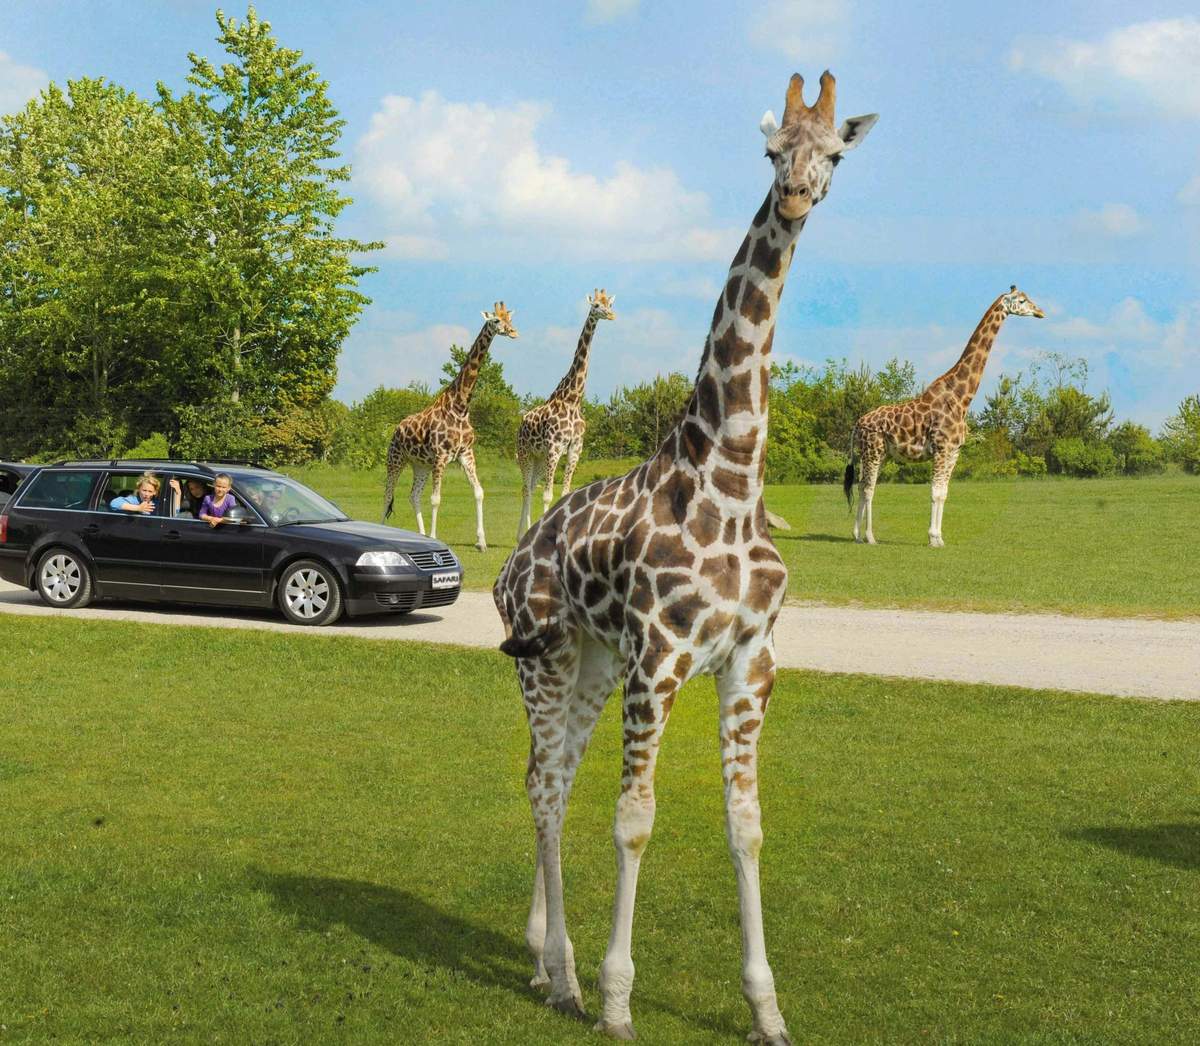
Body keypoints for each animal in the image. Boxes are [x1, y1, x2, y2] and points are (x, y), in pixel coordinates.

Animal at [381, 303, 518, 551]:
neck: (460, 407)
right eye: (496, 320)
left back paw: (421, 534)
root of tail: (396, 428)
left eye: (509, 319)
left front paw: (481, 542)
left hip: (420, 465)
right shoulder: (441, 456)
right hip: (395, 459)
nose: (513, 332)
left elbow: (479, 492)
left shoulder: (465, 454)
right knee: (387, 495)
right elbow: (436, 499)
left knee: (413, 495)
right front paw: (436, 536)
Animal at [515, 289, 617, 540]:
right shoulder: (555, 447)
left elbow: (564, 493)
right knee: (526, 489)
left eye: (609, 304)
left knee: (530, 487)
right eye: (596, 305)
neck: (572, 398)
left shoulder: (574, 449)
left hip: (539, 458)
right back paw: (521, 535)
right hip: (526, 453)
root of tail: (521, 423)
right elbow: (548, 495)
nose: (611, 315)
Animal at [844, 286, 1044, 547]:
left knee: (861, 486)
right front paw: (932, 538)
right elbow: (935, 492)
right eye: (1021, 301)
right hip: (873, 451)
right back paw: (870, 536)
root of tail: (858, 424)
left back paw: (857, 535)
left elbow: (944, 493)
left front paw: (939, 537)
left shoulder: (954, 451)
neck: (961, 397)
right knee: (868, 489)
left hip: (879, 453)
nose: (1040, 312)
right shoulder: (941, 448)